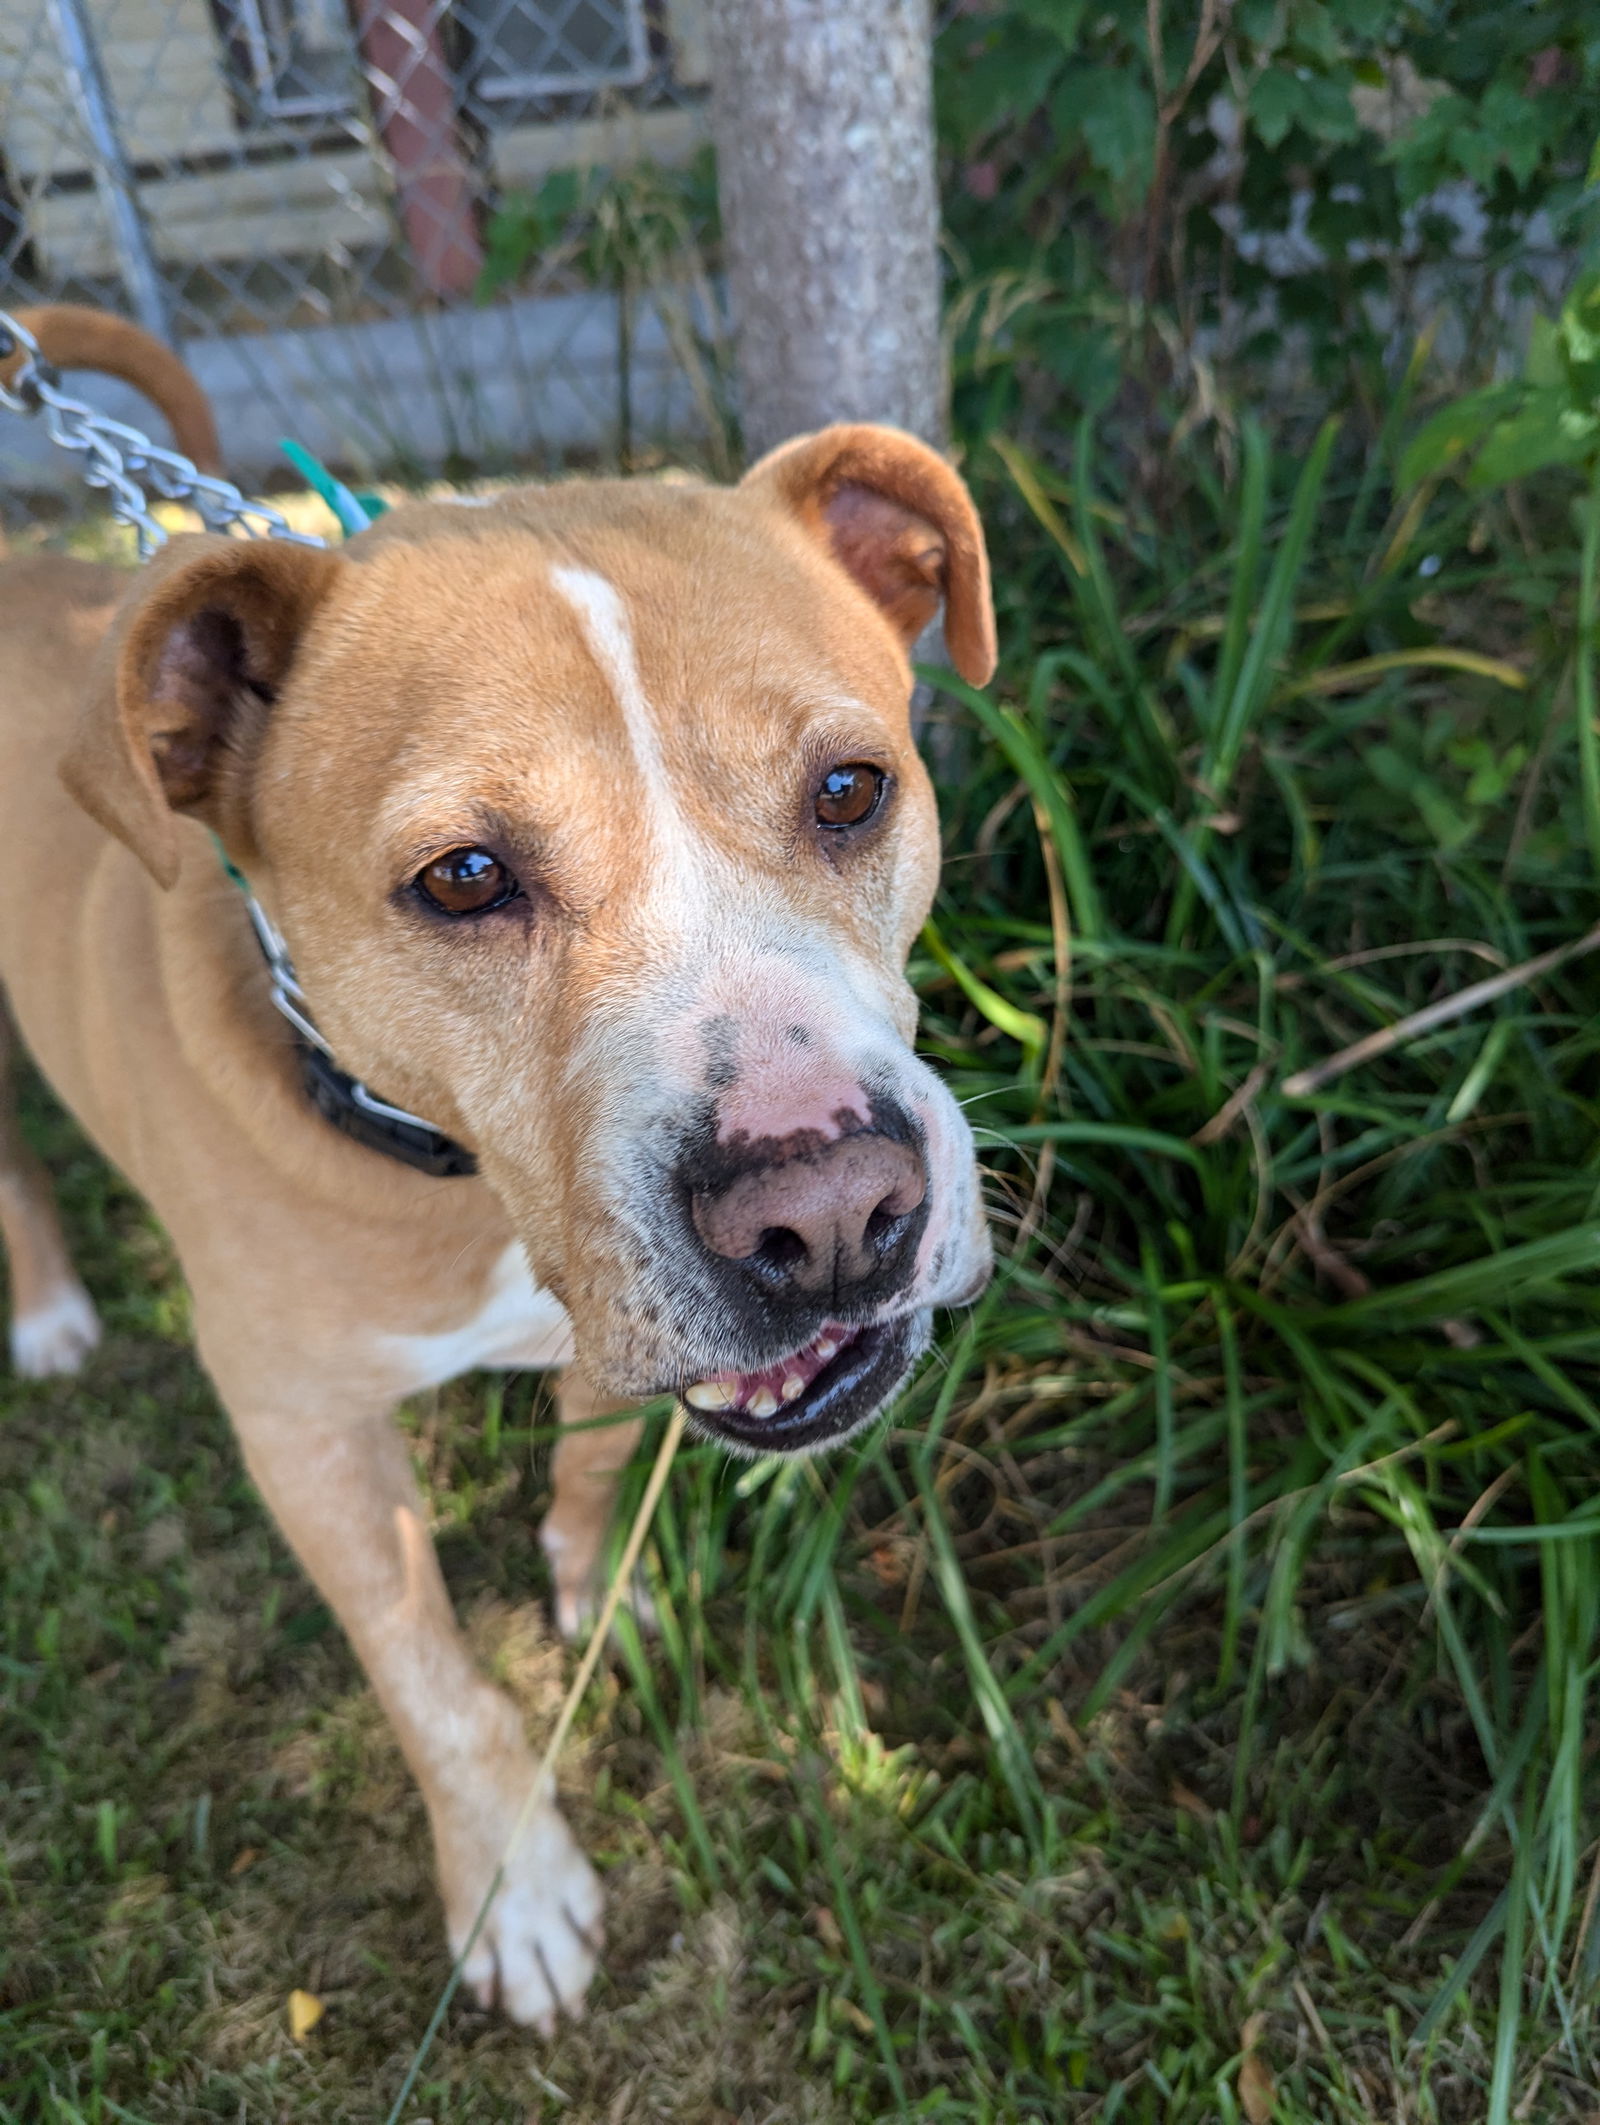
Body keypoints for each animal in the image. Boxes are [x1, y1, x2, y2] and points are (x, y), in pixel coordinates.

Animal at [0, 310, 994, 2023]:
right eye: (464, 878)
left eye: (851, 790)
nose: (834, 1214)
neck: (452, 1176)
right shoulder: (303, 1436)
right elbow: (434, 1682)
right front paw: (513, 1886)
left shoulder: (603, 1335)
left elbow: (593, 1471)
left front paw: (605, 1606)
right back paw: (52, 1310)